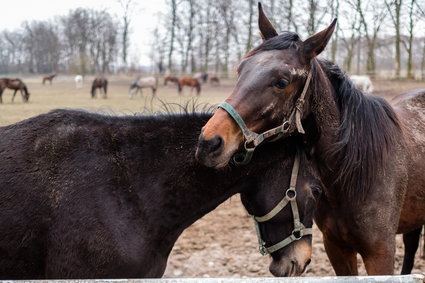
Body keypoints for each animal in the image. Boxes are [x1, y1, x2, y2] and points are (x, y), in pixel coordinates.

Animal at [196, 3, 424, 276]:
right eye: (241, 70)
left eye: (281, 81)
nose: (209, 142)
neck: (352, 171)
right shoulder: (336, 248)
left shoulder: (380, 252)